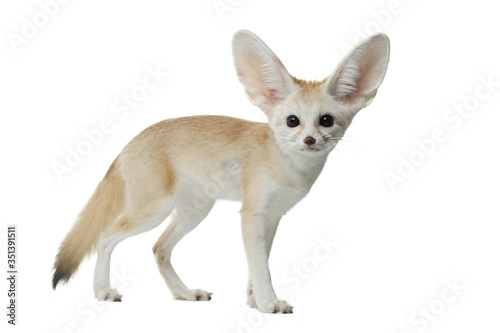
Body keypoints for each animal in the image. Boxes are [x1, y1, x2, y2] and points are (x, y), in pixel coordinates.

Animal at [52, 29, 388, 312]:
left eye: (326, 120)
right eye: (293, 121)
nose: (309, 140)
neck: (289, 167)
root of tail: (129, 142)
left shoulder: (273, 216)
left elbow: (259, 262)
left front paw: (254, 301)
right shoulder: (251, 214)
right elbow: (261, 267)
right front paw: (269, 303)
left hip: (193, 213)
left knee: (159, 248)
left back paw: (184, 293)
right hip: (153, 211)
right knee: (105, 237)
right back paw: (103, 290)